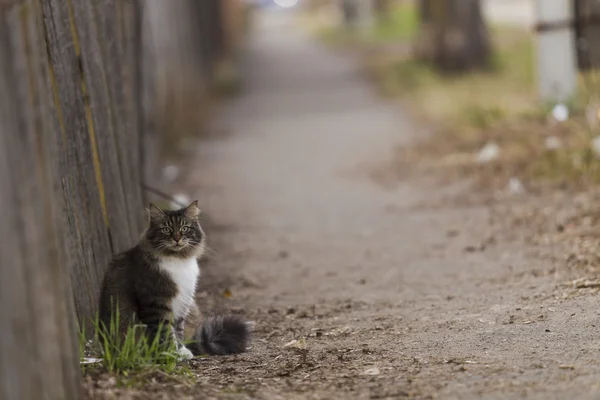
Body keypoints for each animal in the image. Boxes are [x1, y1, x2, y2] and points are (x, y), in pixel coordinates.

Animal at [99, 202, 250, 358]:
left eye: (184, 228)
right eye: (166, 229)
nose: (177, 238)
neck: (178, 260)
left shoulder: (182, 302)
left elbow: (178, 330)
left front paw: (180, 351)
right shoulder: (155, 304)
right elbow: (164, 332)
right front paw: (170, 354)